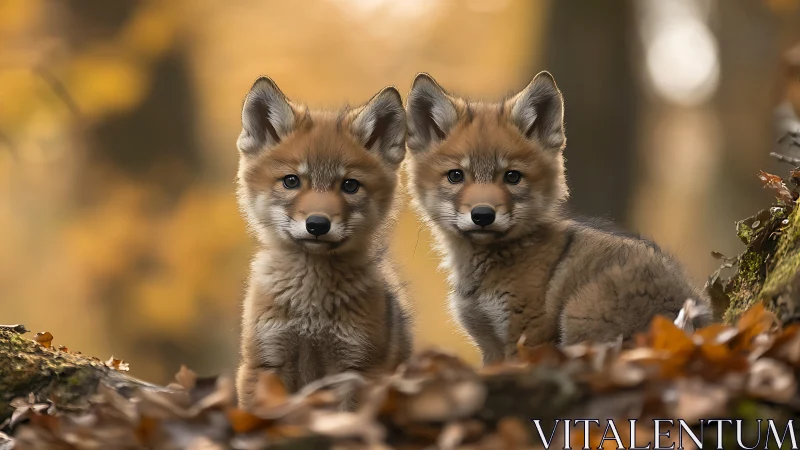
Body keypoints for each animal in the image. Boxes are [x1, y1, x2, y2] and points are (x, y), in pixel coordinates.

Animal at [234, 77, 412, 408]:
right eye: (291, 181)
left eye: (350, 185)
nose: (317, 224)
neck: (311, 310)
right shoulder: (265, 361)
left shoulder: (357, 368)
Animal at [404, 71, 712, 365]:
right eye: (456, 175)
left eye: (512, 177)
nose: (482, 215)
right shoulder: (489, 343)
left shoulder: (527, 336)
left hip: (579, 319)